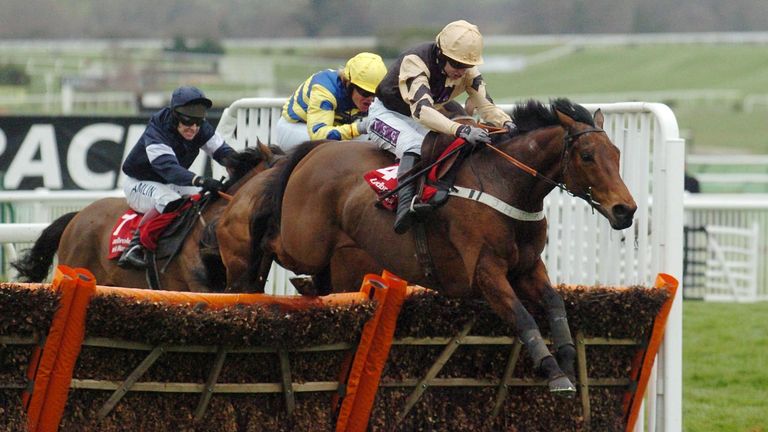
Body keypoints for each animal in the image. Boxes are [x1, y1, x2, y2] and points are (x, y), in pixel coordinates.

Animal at [249, 99, 640, 394]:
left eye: (617, 153)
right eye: (587, 156)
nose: (626, 210)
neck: (505, 184)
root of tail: (317, 148)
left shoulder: (528, 267)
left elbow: (555, 303)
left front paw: (569, 362)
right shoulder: (485, 272)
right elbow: (523, 316)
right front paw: (554, 372)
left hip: (339, 256)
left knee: (324, 279)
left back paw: (307, 286)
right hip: (303, 242)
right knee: (269, 237)